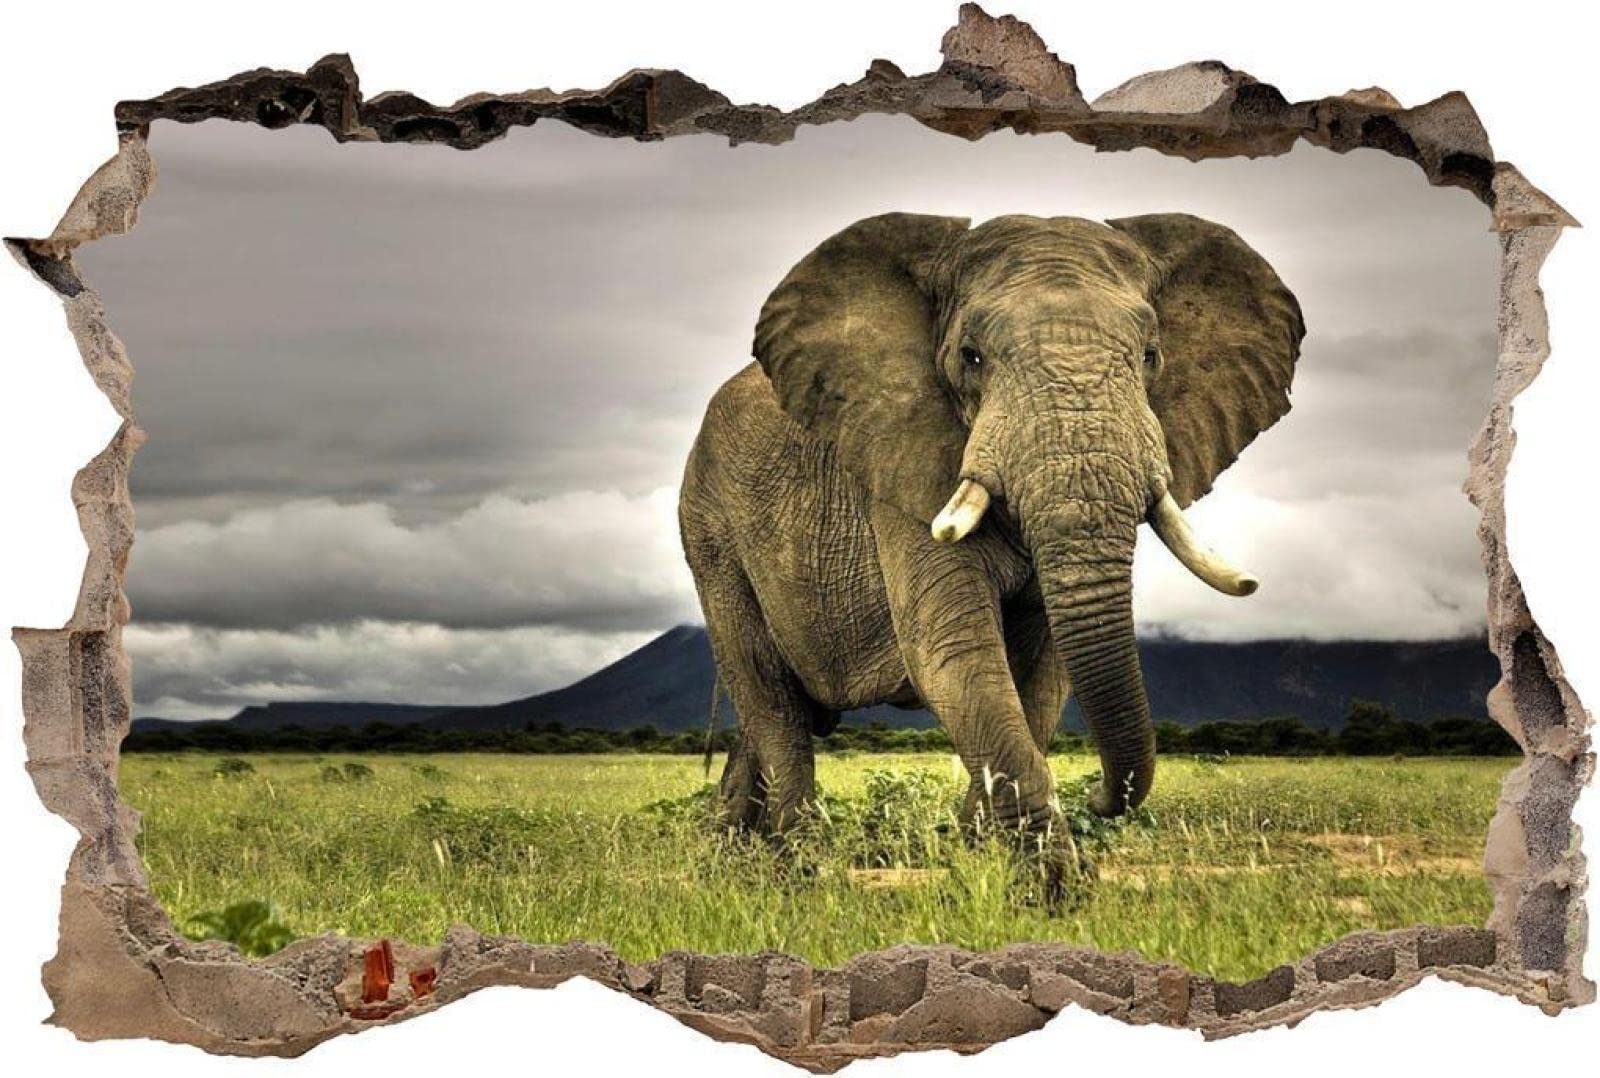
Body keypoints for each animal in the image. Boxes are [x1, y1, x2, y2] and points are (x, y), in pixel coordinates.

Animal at [678, 212, 1304, 839]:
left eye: (1151, 355)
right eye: (970, 356)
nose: (1102, 796)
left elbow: (1042, 679)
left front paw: (979, 846)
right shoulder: (902, 466)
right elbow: (955, 653)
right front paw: (1036, 863)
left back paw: (735, 848)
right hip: (710, 531)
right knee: (771, 701)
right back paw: (797, 853)